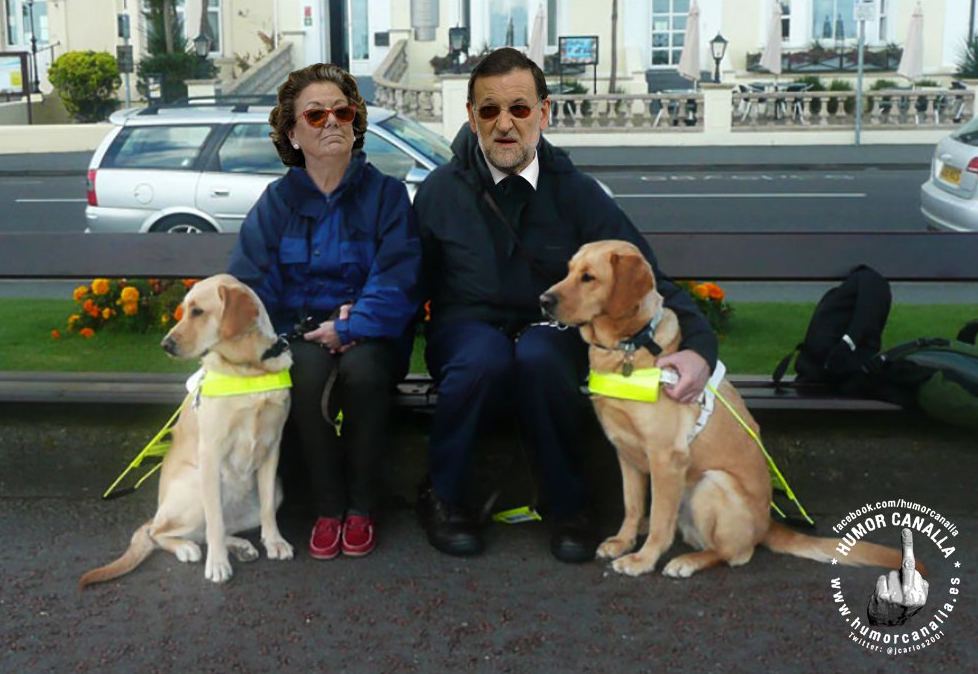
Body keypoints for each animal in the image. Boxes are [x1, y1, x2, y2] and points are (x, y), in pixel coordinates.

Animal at [80, 274, 294, 587]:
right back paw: (187, 548)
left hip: (276, 488)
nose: (165, 344)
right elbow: (214, 519)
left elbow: (265, 508)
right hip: (193, 486)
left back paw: (239, 545)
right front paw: (217, 564)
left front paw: (274, 541)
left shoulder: (272, 447)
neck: (248, 368)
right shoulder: (211, 452)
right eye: (183, 311)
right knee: (161, 533)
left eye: (198, 312)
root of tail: (157, 515)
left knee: (210, 529)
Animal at [541, 240, 915, 578]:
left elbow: (661, 519)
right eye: (568, 271)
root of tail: (767, 523)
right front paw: (623, 541)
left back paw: (687, 562)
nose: (543, 301)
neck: (629, 346)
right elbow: (632, 506)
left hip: (712, 483)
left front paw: (643, 559)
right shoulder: (626, 452)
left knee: (732, 553)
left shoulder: (666, 456)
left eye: (589, 277)